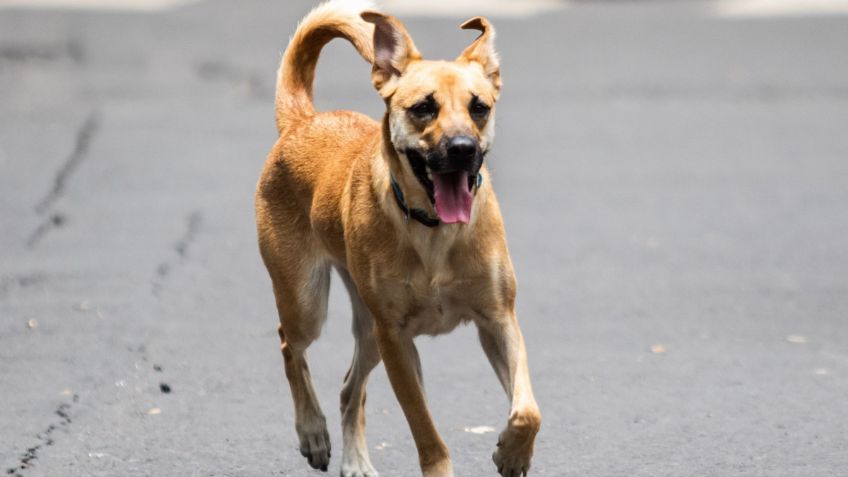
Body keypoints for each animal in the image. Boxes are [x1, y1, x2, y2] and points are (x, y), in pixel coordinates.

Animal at [255, 1, 540, 474]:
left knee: (349, 388)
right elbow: (427, 432)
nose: (463, 148)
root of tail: (303, 121)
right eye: (423, 107)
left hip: (367, 330)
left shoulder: (499, 321)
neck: (434, 232)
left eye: (479, 107)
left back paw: (354, 460)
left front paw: (513, 452)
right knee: (289, 345)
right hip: (307, 303)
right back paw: (312, 432)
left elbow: (527, 410)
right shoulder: (396, 340)